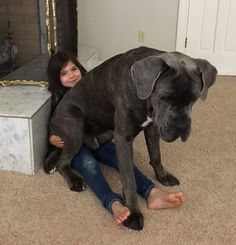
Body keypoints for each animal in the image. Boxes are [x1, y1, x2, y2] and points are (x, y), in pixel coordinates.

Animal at [48, 46, 218, 230]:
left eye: (194, 99)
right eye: (165, 98)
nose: (181, 125)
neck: (144, 95)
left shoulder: (152, 127)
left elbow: (156, 155)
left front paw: (162, 176)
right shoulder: (124, 138)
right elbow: (129, 179)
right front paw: (133, 213)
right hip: (75, 125)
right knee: (63, 161)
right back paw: (74, 179)